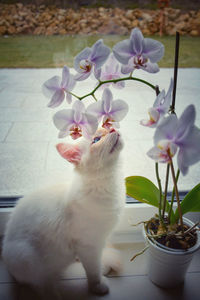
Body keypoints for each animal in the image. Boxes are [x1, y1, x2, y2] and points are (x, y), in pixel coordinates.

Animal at [2, 126, 125, 296]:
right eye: (96, 140)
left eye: (106, 127)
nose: (113, 128)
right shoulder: (90, 245)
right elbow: (93, 271)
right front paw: (97, 286)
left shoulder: (96, 243)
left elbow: (97, 265)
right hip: (27, 257)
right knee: (41, 285)